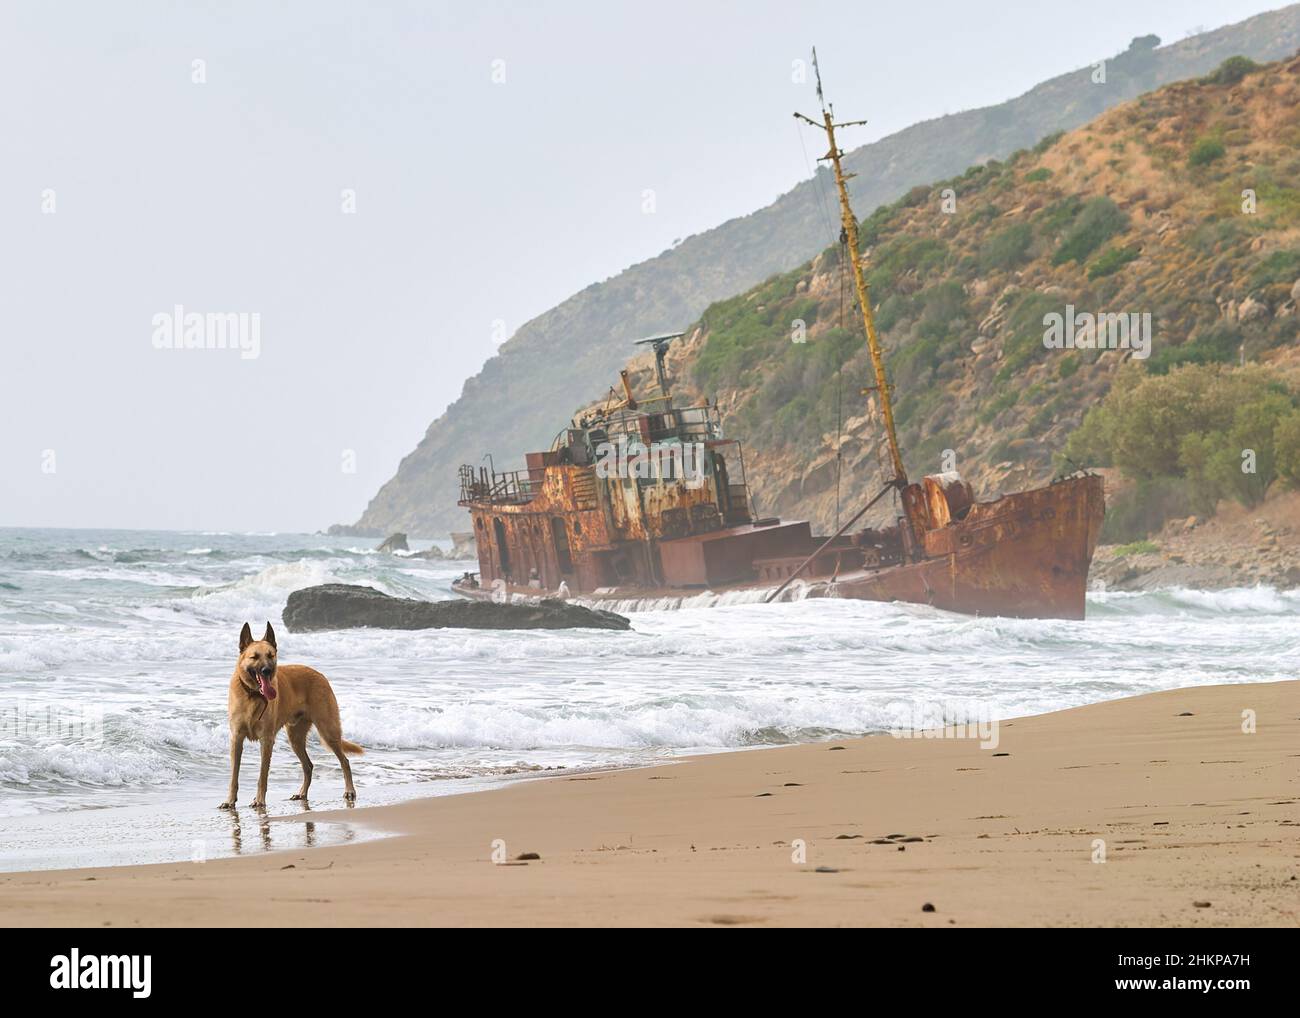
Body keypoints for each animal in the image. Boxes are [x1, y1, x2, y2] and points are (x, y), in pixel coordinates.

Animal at [218, 621, 361, 811]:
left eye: (271, 655)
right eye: (254, 657)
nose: (267, 670)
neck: (253, 696)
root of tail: (320, 675)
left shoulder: (266, 740)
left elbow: (262, 776)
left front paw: (259, 800)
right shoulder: (237, 740)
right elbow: (234, 776)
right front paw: (230, 800)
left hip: (328, 731)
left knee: (344, 760)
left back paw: (350, 791)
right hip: (295, 738)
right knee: (308, 765)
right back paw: (302, 793)